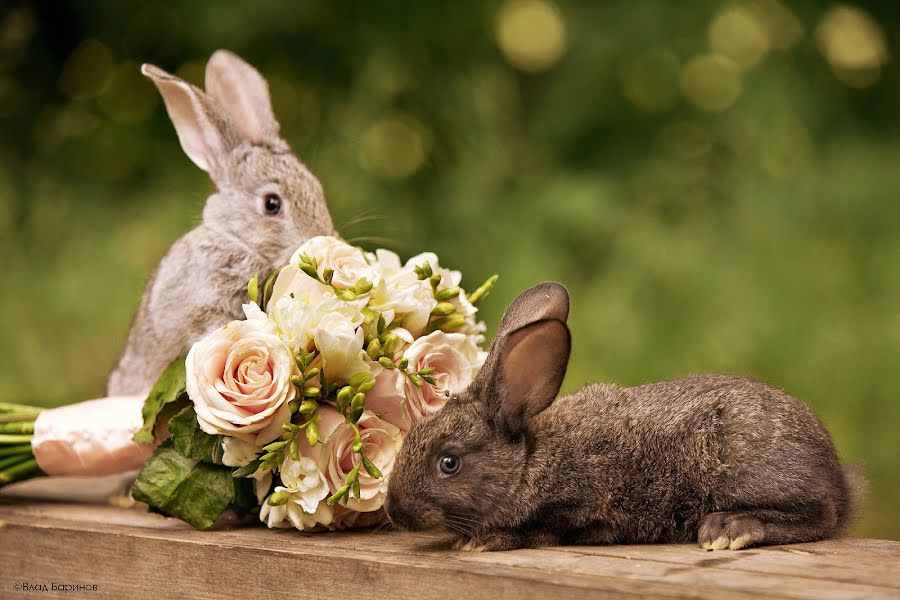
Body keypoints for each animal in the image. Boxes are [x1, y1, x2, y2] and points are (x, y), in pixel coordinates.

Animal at [386, 284, 864, 552]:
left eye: (449, 463)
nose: (394, 511)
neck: (527, 462)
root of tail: (839, 478)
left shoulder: (581, 503)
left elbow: (547, 530)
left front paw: (485, 542)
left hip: (744, 467)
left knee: (820, 516)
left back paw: (730, 527)